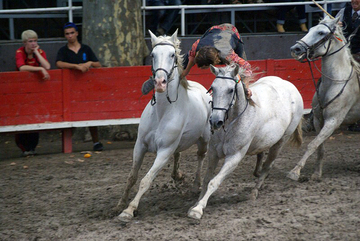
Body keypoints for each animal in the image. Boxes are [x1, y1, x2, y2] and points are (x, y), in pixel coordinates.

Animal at [116, 30, 211, 222]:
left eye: (172, 55)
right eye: (153, 55)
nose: (160, 82)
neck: (161, 112)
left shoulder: (164, 151)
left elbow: (146, 180)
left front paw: (129, 210)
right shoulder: (140, 145)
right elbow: (132, 177)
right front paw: (120, 204)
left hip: (203, 140)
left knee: (200, 157)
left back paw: (195, 185)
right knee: (178, 155)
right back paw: (178, 175)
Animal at [188, 63, 304, 219]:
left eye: (231, 90)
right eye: (213, 88)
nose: (215, 121)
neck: (231, 124)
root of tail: (292, 87)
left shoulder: (234, 157)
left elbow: (214, 181)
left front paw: (198, 209)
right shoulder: (213, 153)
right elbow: (207, 180)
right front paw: (196, 204)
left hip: (281, 141)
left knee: (268, 165)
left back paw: (254, 192)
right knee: (261, 156)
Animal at [288, 16, 360, 181]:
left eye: (321, 32)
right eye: (310, 29)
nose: (295, 49)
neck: (335, 81)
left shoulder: (333, 121)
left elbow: (312, 144)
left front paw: (295, 171)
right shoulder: (318, 120)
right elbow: (319, 146)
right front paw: (316, 173)